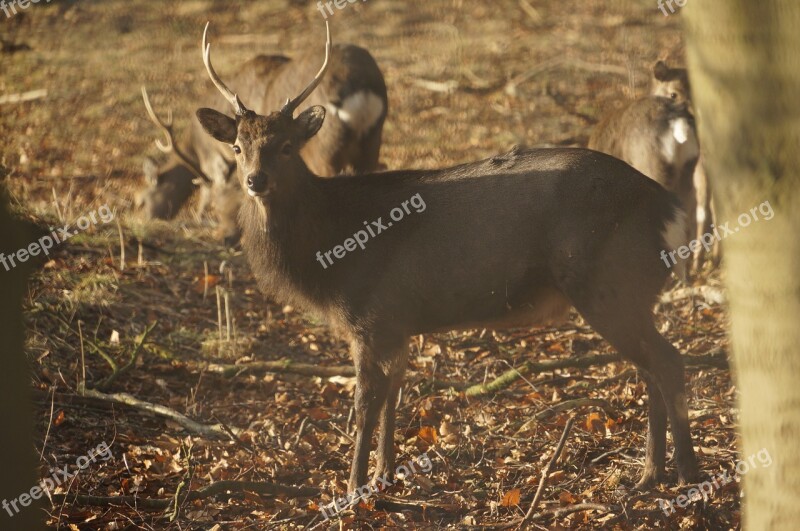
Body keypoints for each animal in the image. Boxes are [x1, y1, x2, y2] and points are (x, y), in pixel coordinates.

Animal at [195, 22, 700, 498]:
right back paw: (648, 475)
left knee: (669, 361)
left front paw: (353, 488)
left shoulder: (369, 316)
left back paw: (687, 476)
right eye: (238, 146)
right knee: (649, 368)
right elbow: (395, 394)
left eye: (286, 146)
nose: (255, 181)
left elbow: (365, 403)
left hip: (608, 281)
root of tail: (667, 209)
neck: (328, 254)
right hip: (629, 291)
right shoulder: (396, 322)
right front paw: (384, 475)